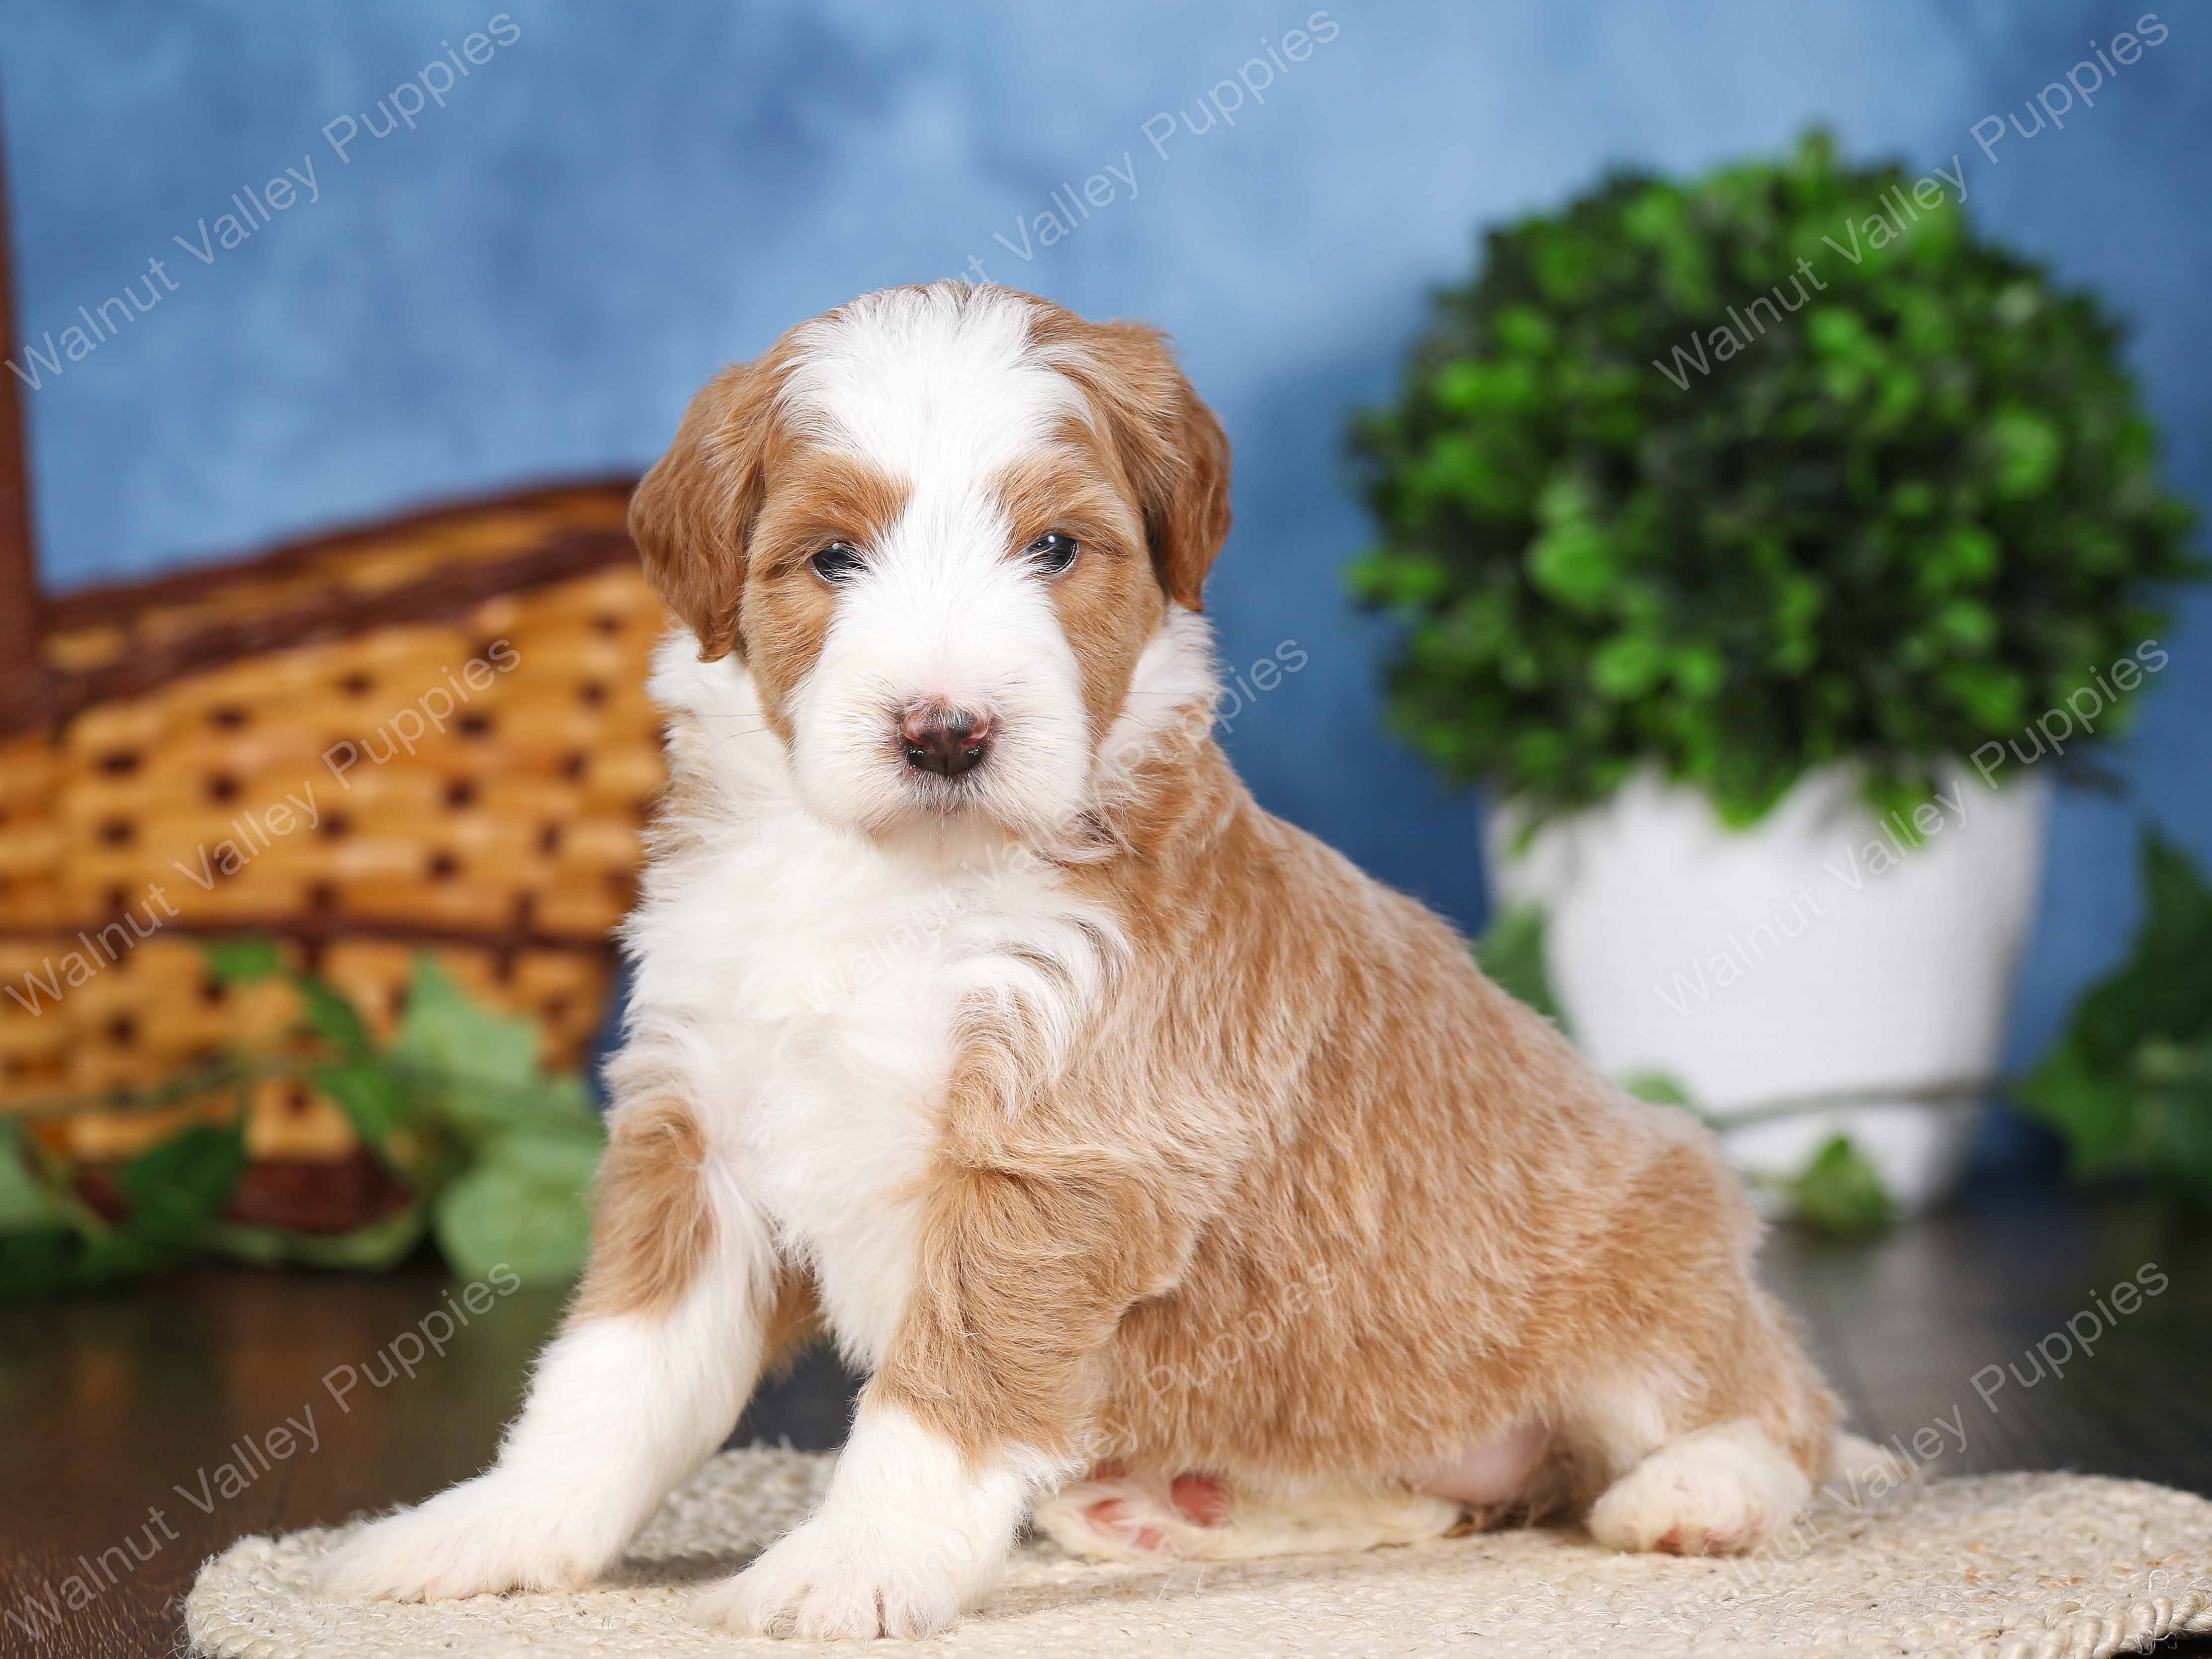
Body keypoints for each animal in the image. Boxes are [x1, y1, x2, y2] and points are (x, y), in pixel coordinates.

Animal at [318, 281, 1864, 1639]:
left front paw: (855, 1563)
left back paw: (1700, 1489)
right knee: (1452, 1495)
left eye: (1055, 550)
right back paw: (1170, 1510)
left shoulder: (1061, 1154)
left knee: (1778, 1404)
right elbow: (610, 1375)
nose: (945, 731)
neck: (891, 880)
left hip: (1648, 1256)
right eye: (831, 558)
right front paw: (496, 1527)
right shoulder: (696, 1132)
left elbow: (939, 1395)